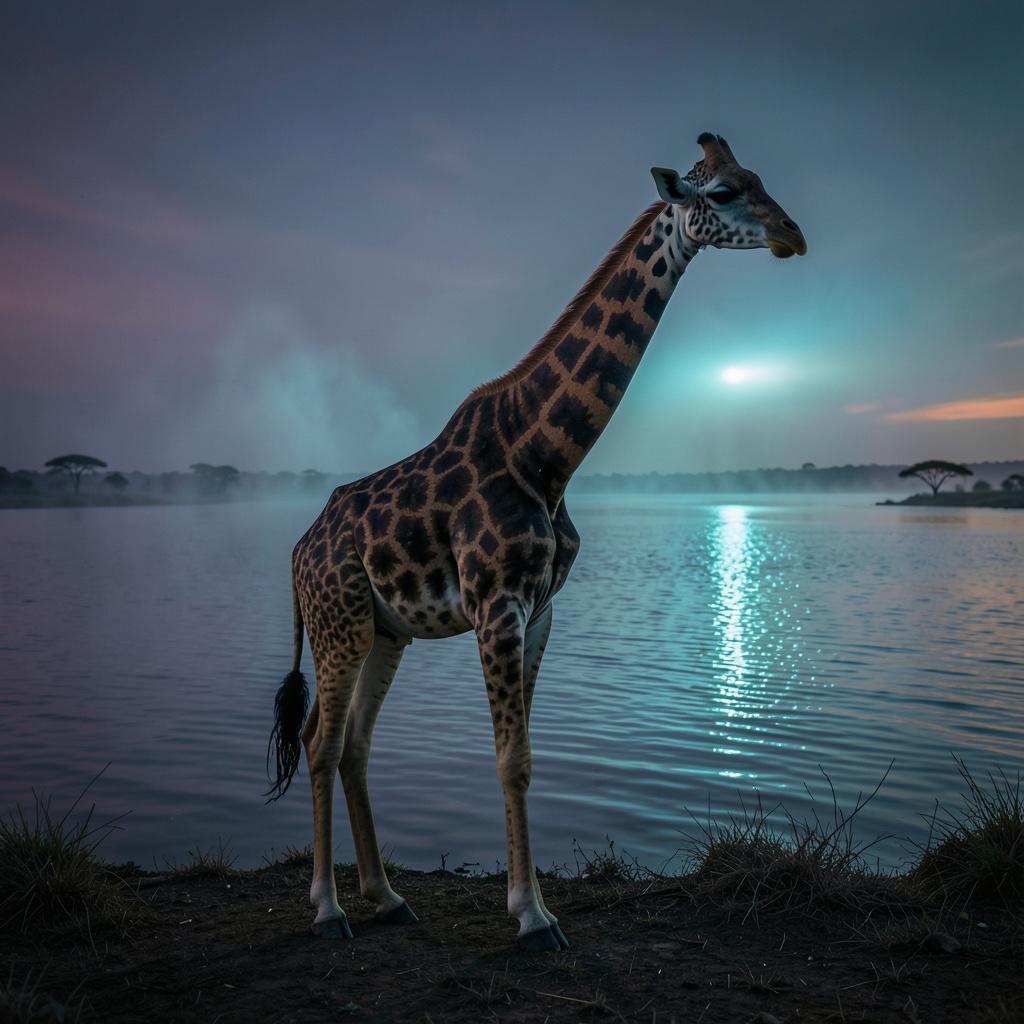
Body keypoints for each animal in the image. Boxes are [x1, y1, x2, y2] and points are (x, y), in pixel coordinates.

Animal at [266, 132, 806, 951]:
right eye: (720, 194)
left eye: (760, 179)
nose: (791, 237)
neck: (545, 456)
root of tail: (298, 554)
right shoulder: (496, 606)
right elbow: (508, 760)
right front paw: (533, 919)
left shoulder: (542, 610)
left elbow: (526, 755)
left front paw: (532, 909)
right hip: (341, 624)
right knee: (320, 742)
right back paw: (328, 909)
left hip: (386, 632)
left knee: (353, 744)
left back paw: (387, 898)